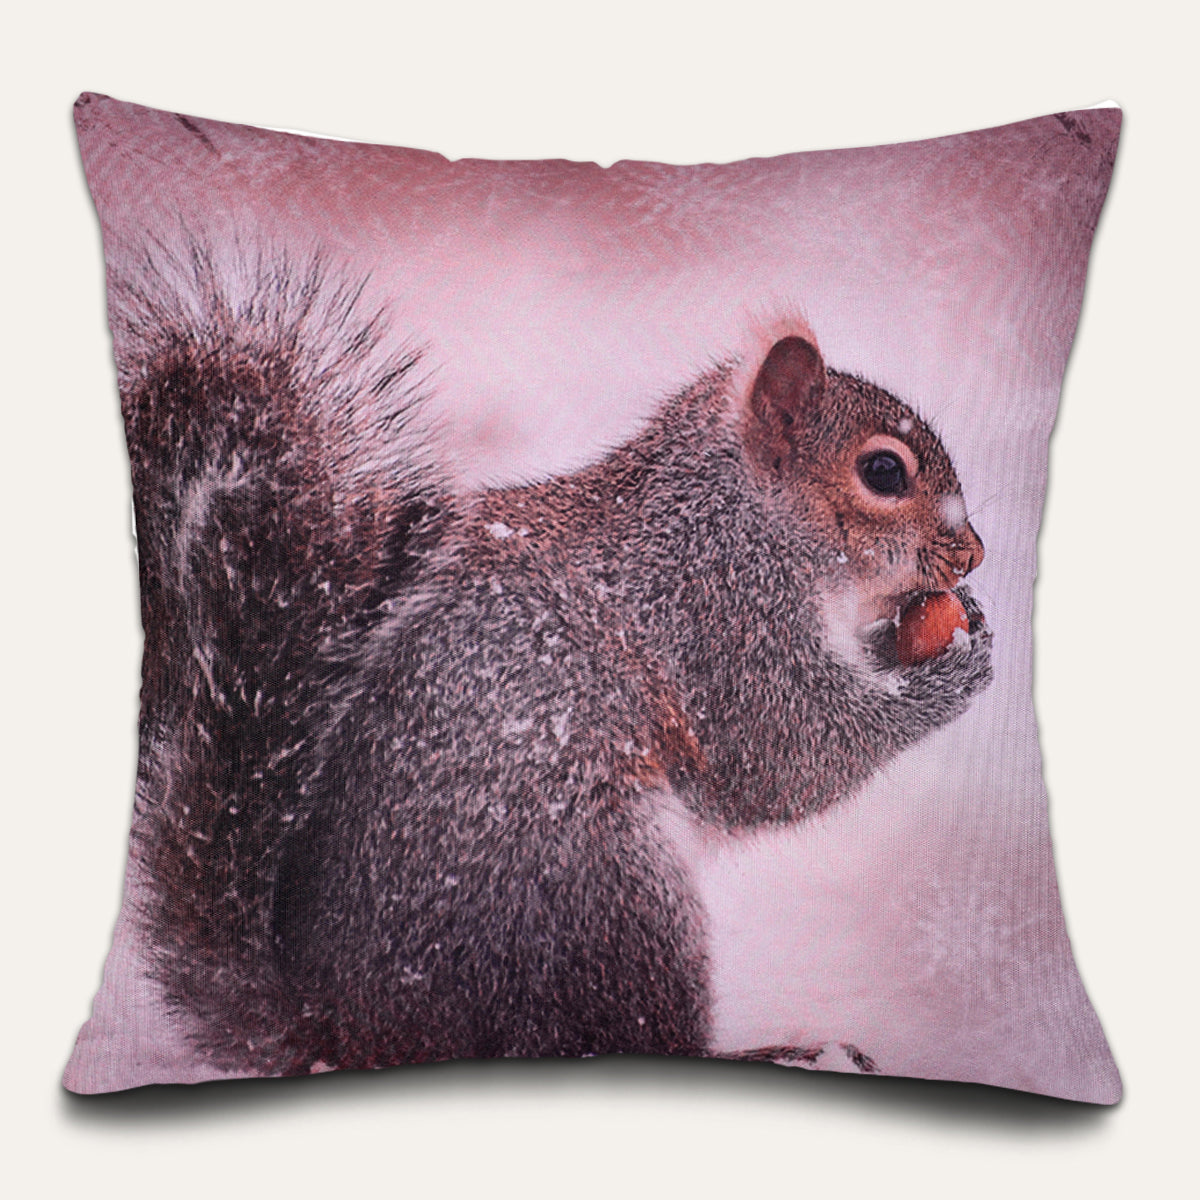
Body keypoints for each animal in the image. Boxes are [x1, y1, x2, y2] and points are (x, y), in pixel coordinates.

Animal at [113, 245, 992, 1077]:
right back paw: (768, 1053)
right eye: (883, 470)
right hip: (608, 890)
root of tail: (343, 1028)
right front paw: (949, 675)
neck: (736, 511)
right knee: (619, 1038)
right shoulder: (719, 619)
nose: (974, 554)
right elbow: (784, 756)